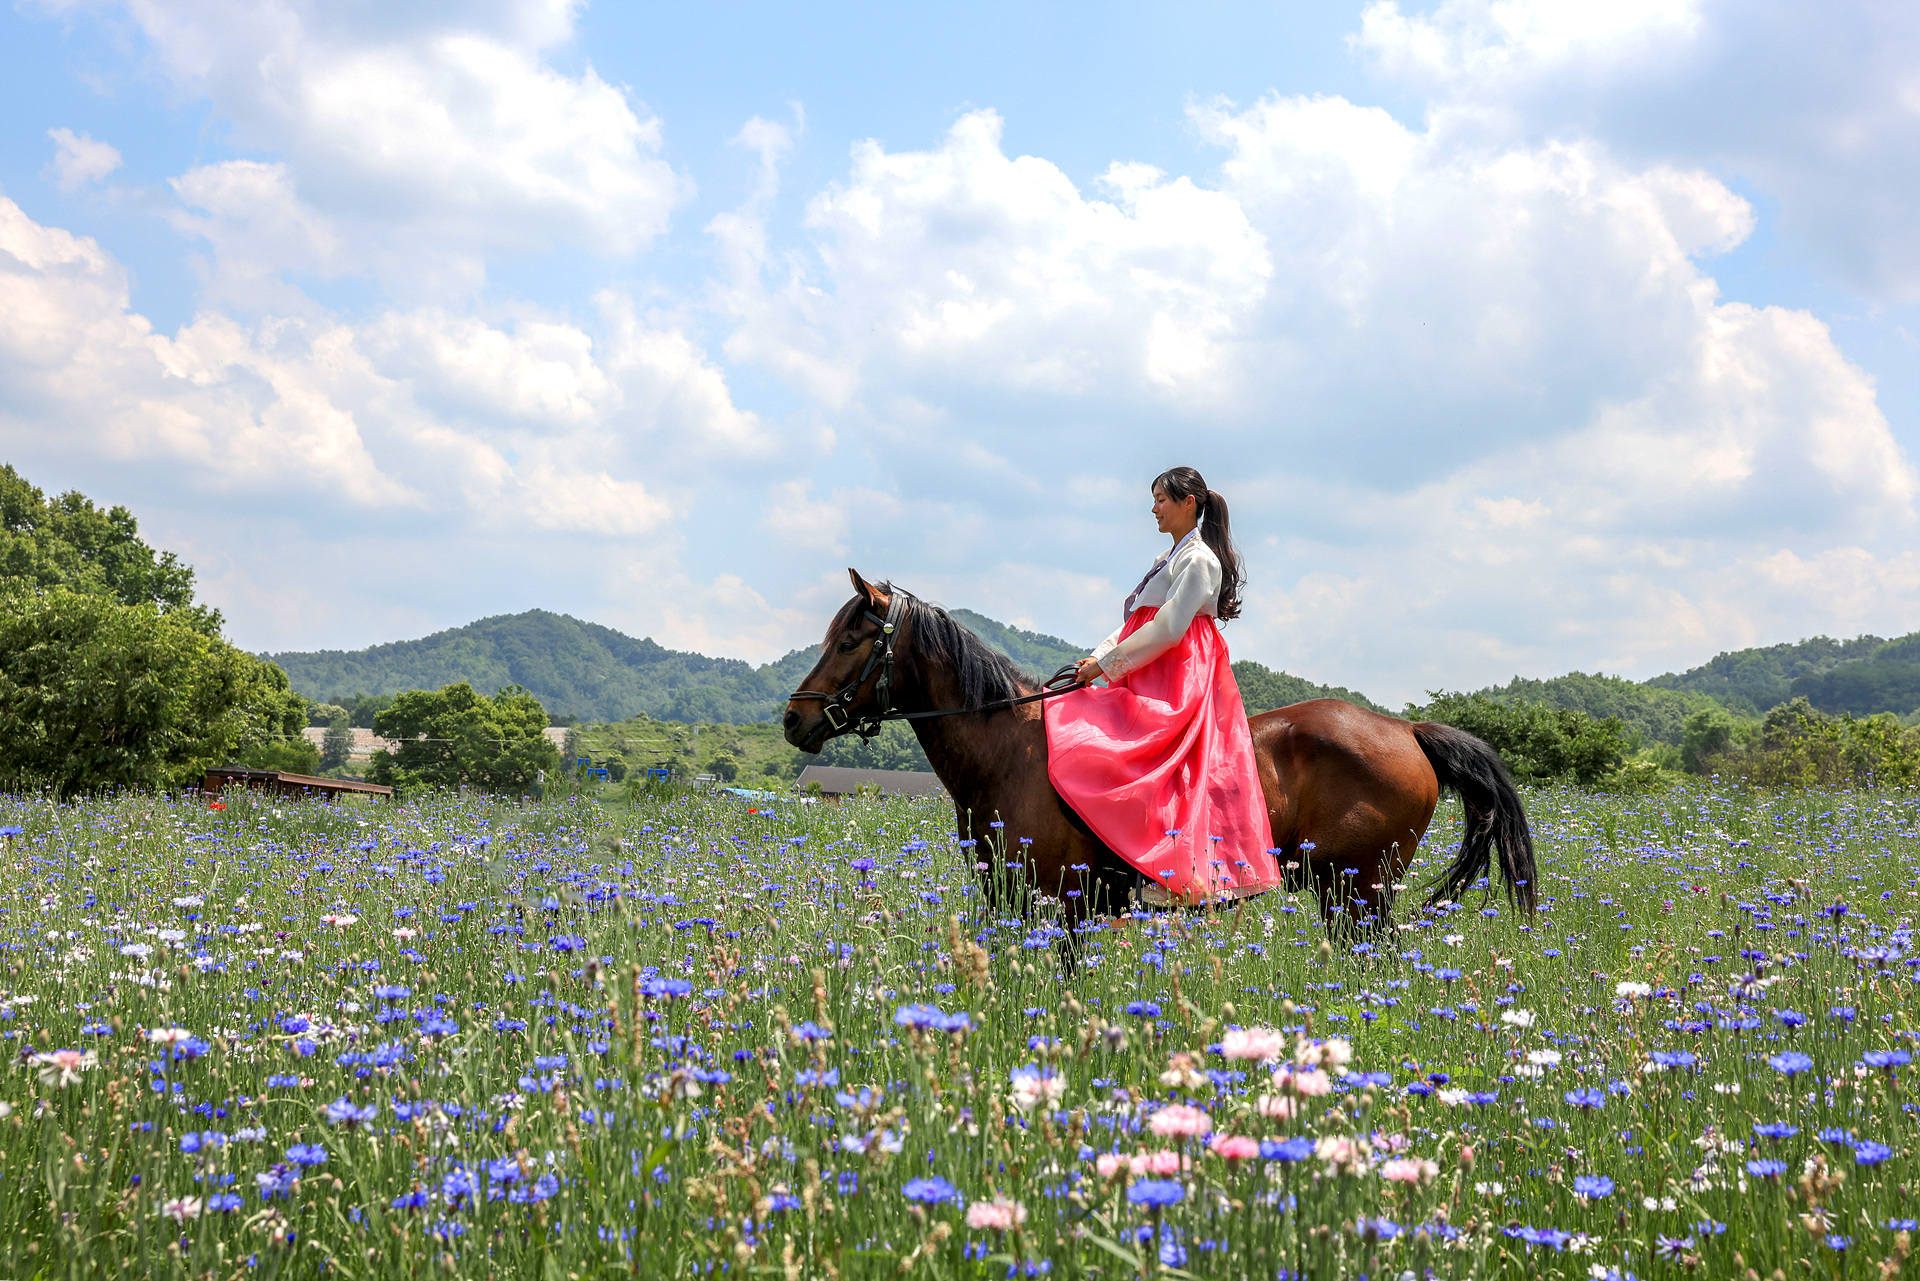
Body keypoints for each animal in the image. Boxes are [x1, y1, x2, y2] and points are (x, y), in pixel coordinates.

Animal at [782, 570, 1536, 934]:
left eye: (850, 638)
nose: (794, 719)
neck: (1006, 754)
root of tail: (1405, 730)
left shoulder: (1067, 903)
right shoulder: (1007, 899)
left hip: (1360, 891)